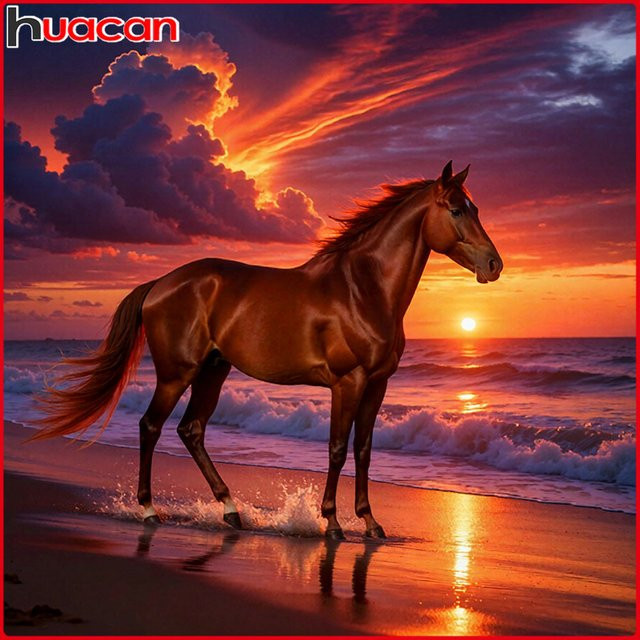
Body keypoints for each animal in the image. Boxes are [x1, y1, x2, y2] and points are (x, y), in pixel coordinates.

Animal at [32, 161, 503, 539]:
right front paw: (332, 522)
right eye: (456, 209)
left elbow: (364, 451)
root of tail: (161, 283)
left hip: (214, 370)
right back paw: (149, 510)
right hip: (176, 374)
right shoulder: (347, 383)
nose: (494, 265)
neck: (363, 290)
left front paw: (370, 523)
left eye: (476, 208)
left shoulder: (377, 385)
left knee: (191, 430)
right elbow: (337, 448)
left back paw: (231, 510)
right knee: (151, 427)